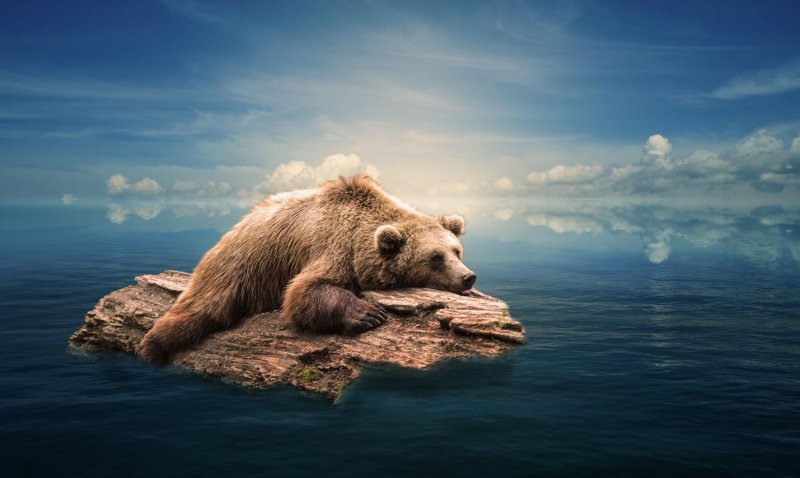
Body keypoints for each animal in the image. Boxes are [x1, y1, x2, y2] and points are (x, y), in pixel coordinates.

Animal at [137, 175, 477, 365]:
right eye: (435, 257)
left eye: (456, 250)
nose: (467, 276)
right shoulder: (333, 246)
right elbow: (304, 291)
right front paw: (368, 314)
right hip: (238, 266)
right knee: (203, 308)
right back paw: (153, 345)